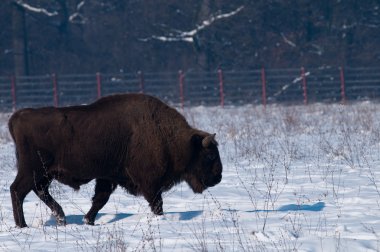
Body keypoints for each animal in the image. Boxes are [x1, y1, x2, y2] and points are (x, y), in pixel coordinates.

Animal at [8, 93, 223, 227]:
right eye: (210, 155)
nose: (218, 177)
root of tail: (17, 117)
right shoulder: (149, 183)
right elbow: (157, 204)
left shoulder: (107, 177)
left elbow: (100, 200)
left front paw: (88, 221)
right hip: (32, 170)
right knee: (18, 190)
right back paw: (23, 225)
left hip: (44, 173)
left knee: (39, 190)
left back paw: (60, 218)